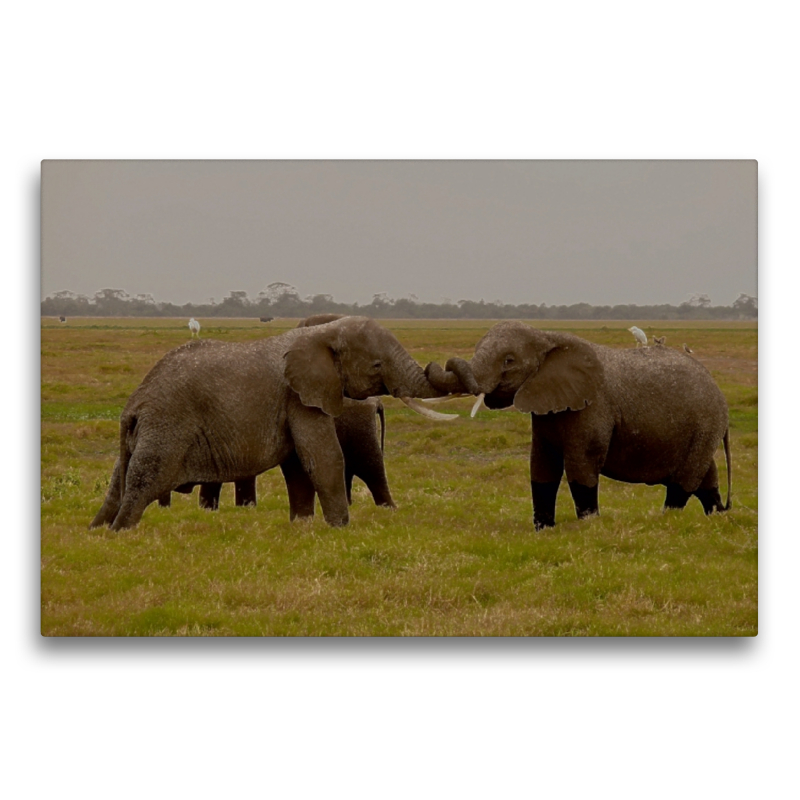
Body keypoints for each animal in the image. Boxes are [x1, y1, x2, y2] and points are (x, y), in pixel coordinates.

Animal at [424, 322, 732, 528]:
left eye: (509, 361)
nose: (430, 366)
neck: (547, 337)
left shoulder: (593, 406)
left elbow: (581, 464)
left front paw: (589, 525)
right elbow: (542, 465)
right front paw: (544, 530)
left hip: (705, 424)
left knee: (684, 482)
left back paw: (667, 520)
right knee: (707, 478)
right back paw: (718, 516)